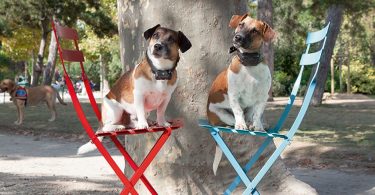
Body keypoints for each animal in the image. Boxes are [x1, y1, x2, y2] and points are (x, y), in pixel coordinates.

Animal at [77, 24, 192, 155]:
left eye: (171, 39)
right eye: (155, 35)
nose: (157, 46)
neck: (159, 70)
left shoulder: (166, 98)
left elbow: (161, 112)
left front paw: (162, 122)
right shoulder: (139, 95)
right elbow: (140, 111)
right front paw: (142, 124)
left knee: (130, 122)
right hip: (116, 110)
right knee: (107, 126)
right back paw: (119, 126)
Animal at [206, 14, 276, 174]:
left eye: (255, 30)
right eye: (240, 24)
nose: (238, 37)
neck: (249, 65)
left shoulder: (262, 98)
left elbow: (258, 115)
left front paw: (258, 126)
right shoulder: (234, 96)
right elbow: (238, 111)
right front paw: (242, 125)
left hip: (250, 108)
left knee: (250, 115)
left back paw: (251, 124)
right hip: (222, 114)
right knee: (233, 119)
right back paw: (239, 124)